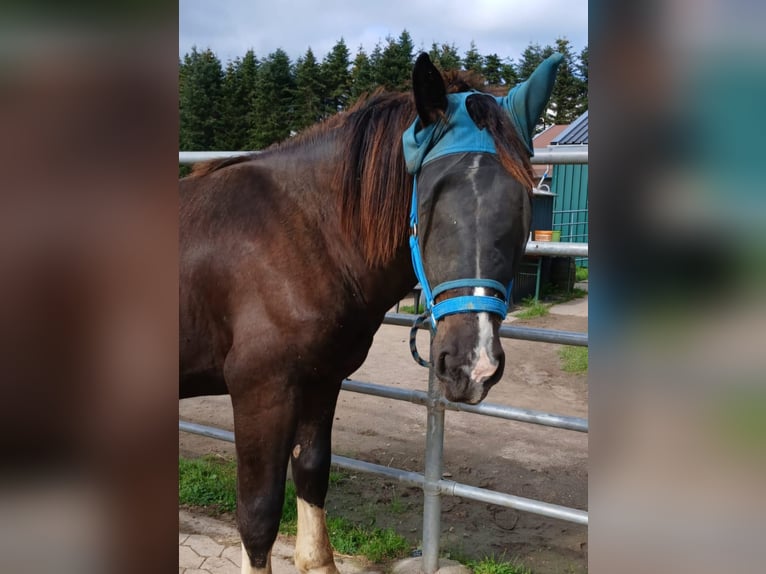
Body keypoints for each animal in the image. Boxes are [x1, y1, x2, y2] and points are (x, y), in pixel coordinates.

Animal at [182, 54, 560, 574]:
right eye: (433, 195)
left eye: (524, 201)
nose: (472, 365)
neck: (297, 232)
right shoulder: (261, 390)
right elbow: (258, 517)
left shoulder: (320, 382)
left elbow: (312, 480)